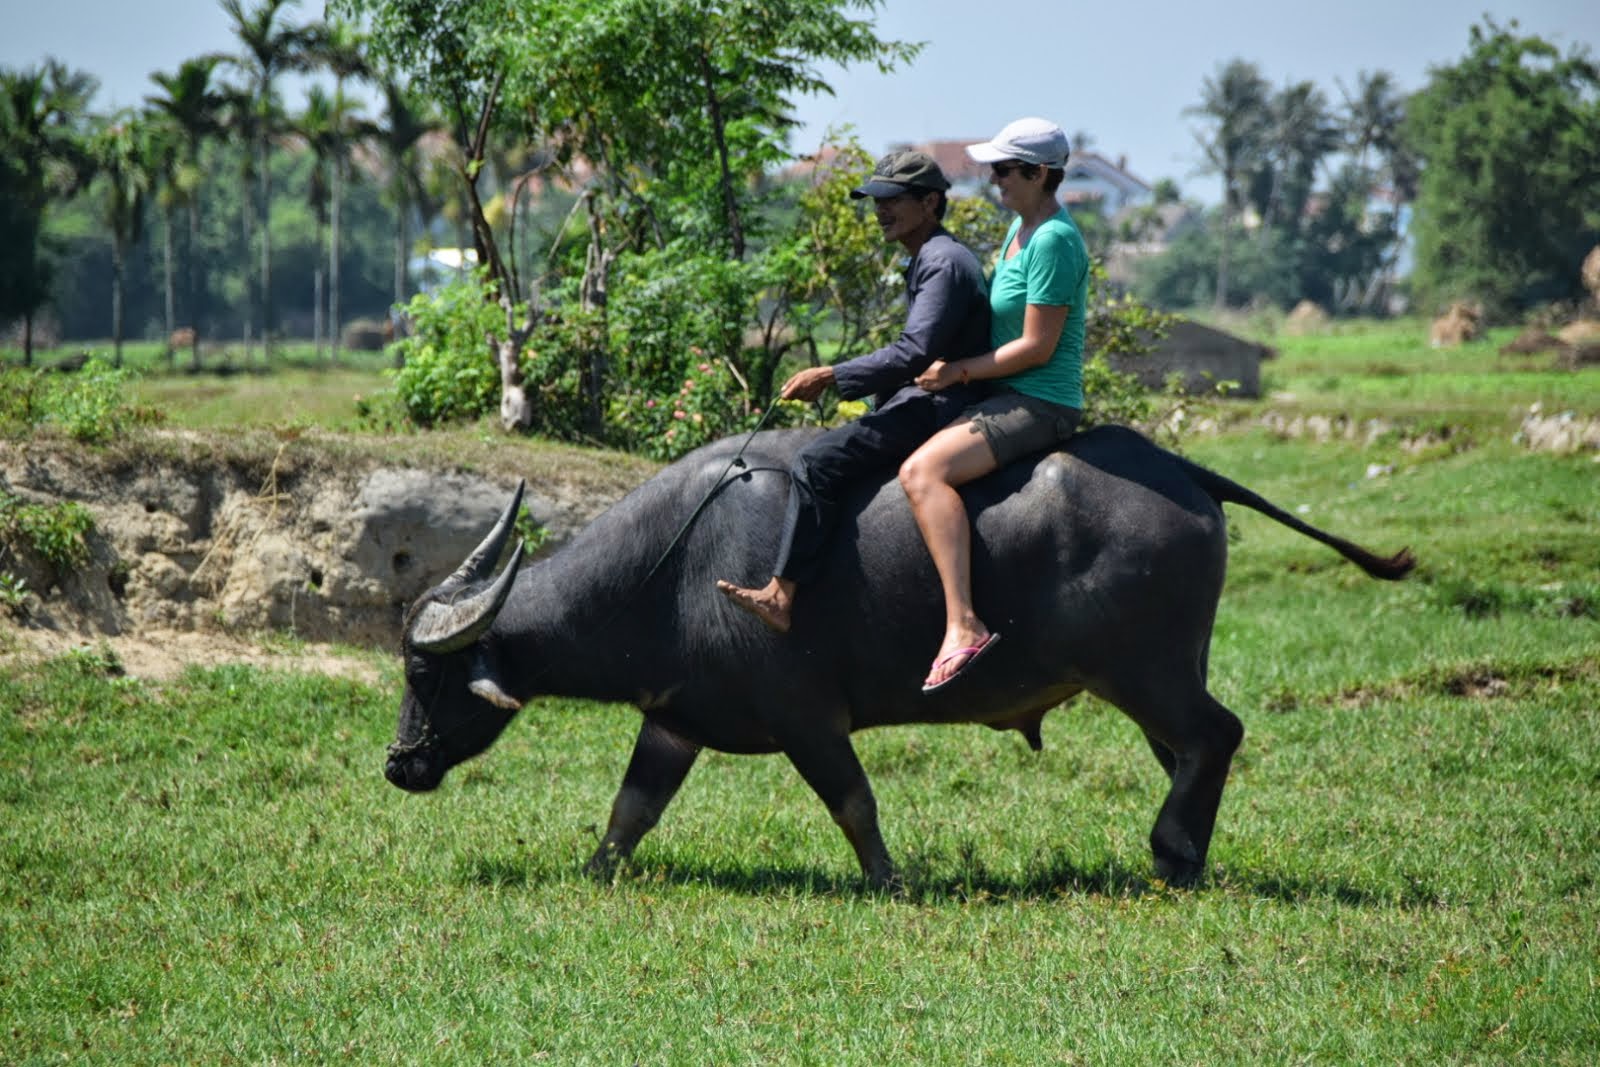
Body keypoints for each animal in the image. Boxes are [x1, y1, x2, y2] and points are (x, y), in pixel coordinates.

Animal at [386, 425, 1413, 888]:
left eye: (423, 672)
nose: (399, 765)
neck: (671, 570)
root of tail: (1183, 470)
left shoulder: (808, 717)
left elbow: (853, 800)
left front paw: (888, 880)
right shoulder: (674, 721)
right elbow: (630, 812)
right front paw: (597, 872)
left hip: (1144, 672)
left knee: (1217, 734)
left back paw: (1171, 850)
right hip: (1163, 673)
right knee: (1194, 751)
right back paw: (1187, 857)